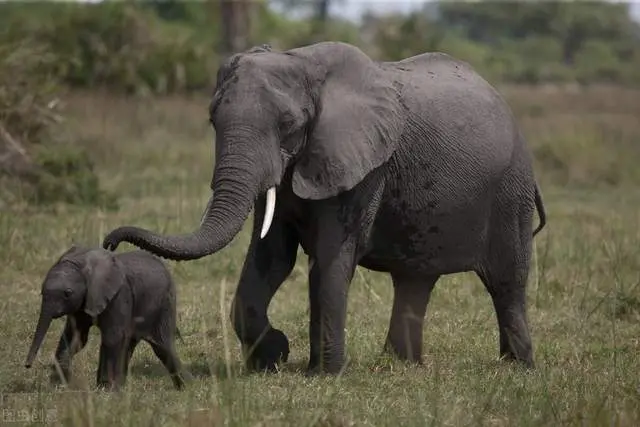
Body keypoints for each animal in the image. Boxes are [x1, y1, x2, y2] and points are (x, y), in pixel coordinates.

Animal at [25, 247, 185, 392]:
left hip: (165, 304)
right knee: (131, 344)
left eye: (68, 293)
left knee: (162, 346)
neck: (82, 264)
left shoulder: (119, 296)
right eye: (41, 291)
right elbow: (75, 338)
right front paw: (57, 385)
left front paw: (105, 390)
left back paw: (185, 387)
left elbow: (111, 338)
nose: (27, 365)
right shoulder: (82, 303)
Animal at [102, 41, 548, 376]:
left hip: (511, 191)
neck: (301, 62)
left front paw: (324, 373)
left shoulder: (366, 167)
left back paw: (517, 366)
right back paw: (401, 365)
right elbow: (271, 256)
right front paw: (275, 357)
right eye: (213, 120)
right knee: (414, 280)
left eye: (287, 124)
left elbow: (332, 260)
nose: (109, 243)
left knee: (507, 281)